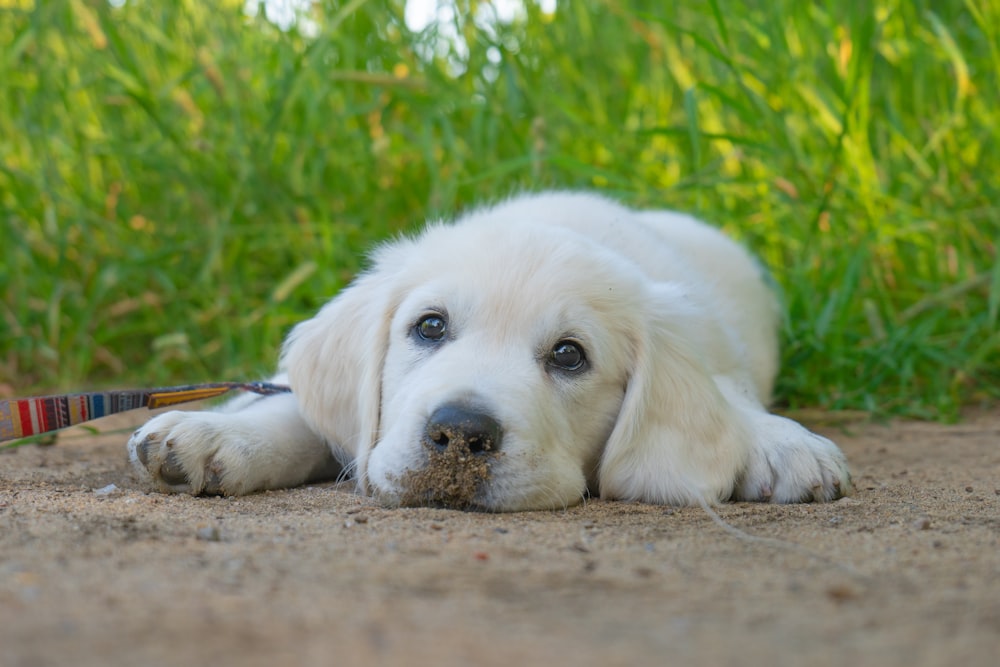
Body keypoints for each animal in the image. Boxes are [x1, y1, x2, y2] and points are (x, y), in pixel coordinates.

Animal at [127, 193, 852, 512]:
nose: (459, 435)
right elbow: (295, 408)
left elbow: (730, 398)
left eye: (569, 355)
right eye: (429, 326)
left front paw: (781, 443)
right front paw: (213, 435)